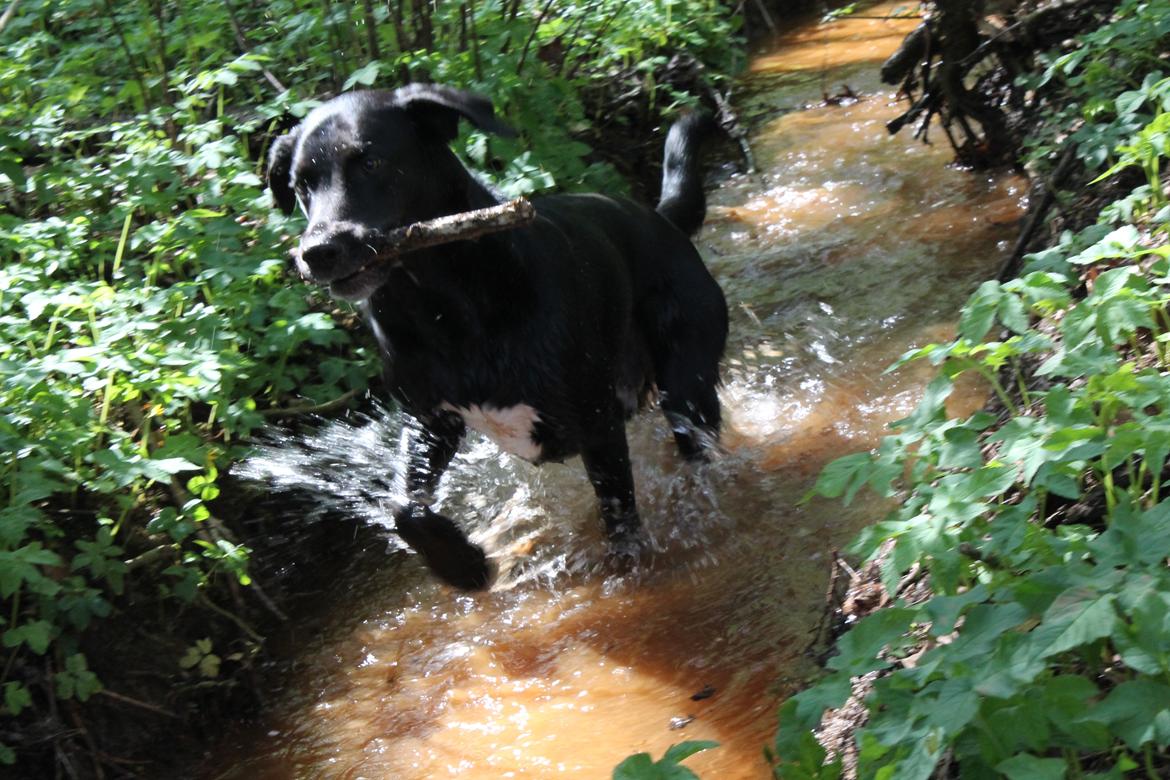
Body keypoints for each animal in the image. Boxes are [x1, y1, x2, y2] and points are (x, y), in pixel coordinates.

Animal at [267, 85, 725, 589]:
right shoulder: (429, 421)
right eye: (301, 185)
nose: (317, 252)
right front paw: (462, 564)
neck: (444, 302)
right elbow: (403, 506)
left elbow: (619, 517)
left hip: (688, 383)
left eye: (370, 162)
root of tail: (660, 219)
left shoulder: (597, 424)